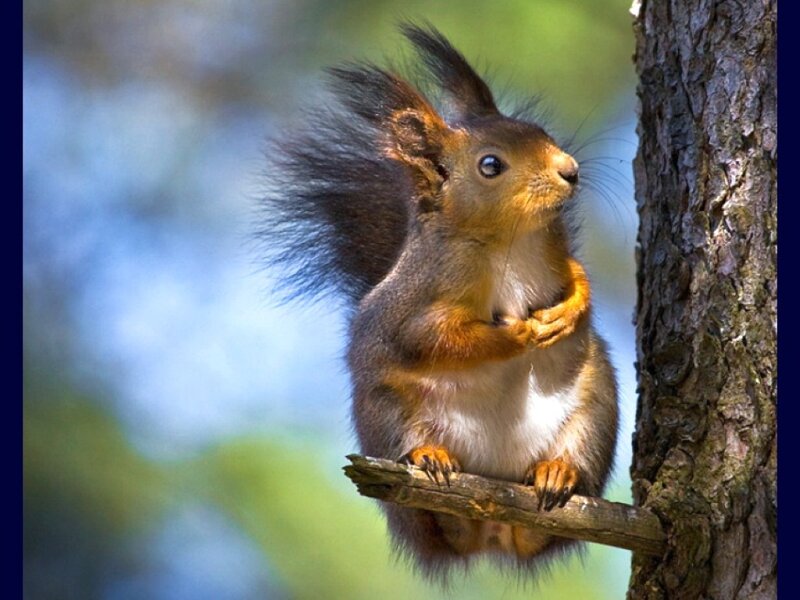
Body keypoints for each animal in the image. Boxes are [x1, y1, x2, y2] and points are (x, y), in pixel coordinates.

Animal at [259, 24, 619, 578]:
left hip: (595, 404)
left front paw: (568, 311)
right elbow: (437, 339)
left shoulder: (556, 251)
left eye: (540, 131)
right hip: (386, 413)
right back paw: (433, 467)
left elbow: (579, 278)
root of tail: (492, 530)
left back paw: (558, 473)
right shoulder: (421, 300)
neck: (512, 239)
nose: (571, 170)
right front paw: (517, 332)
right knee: (432, 504)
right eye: (490, 165)